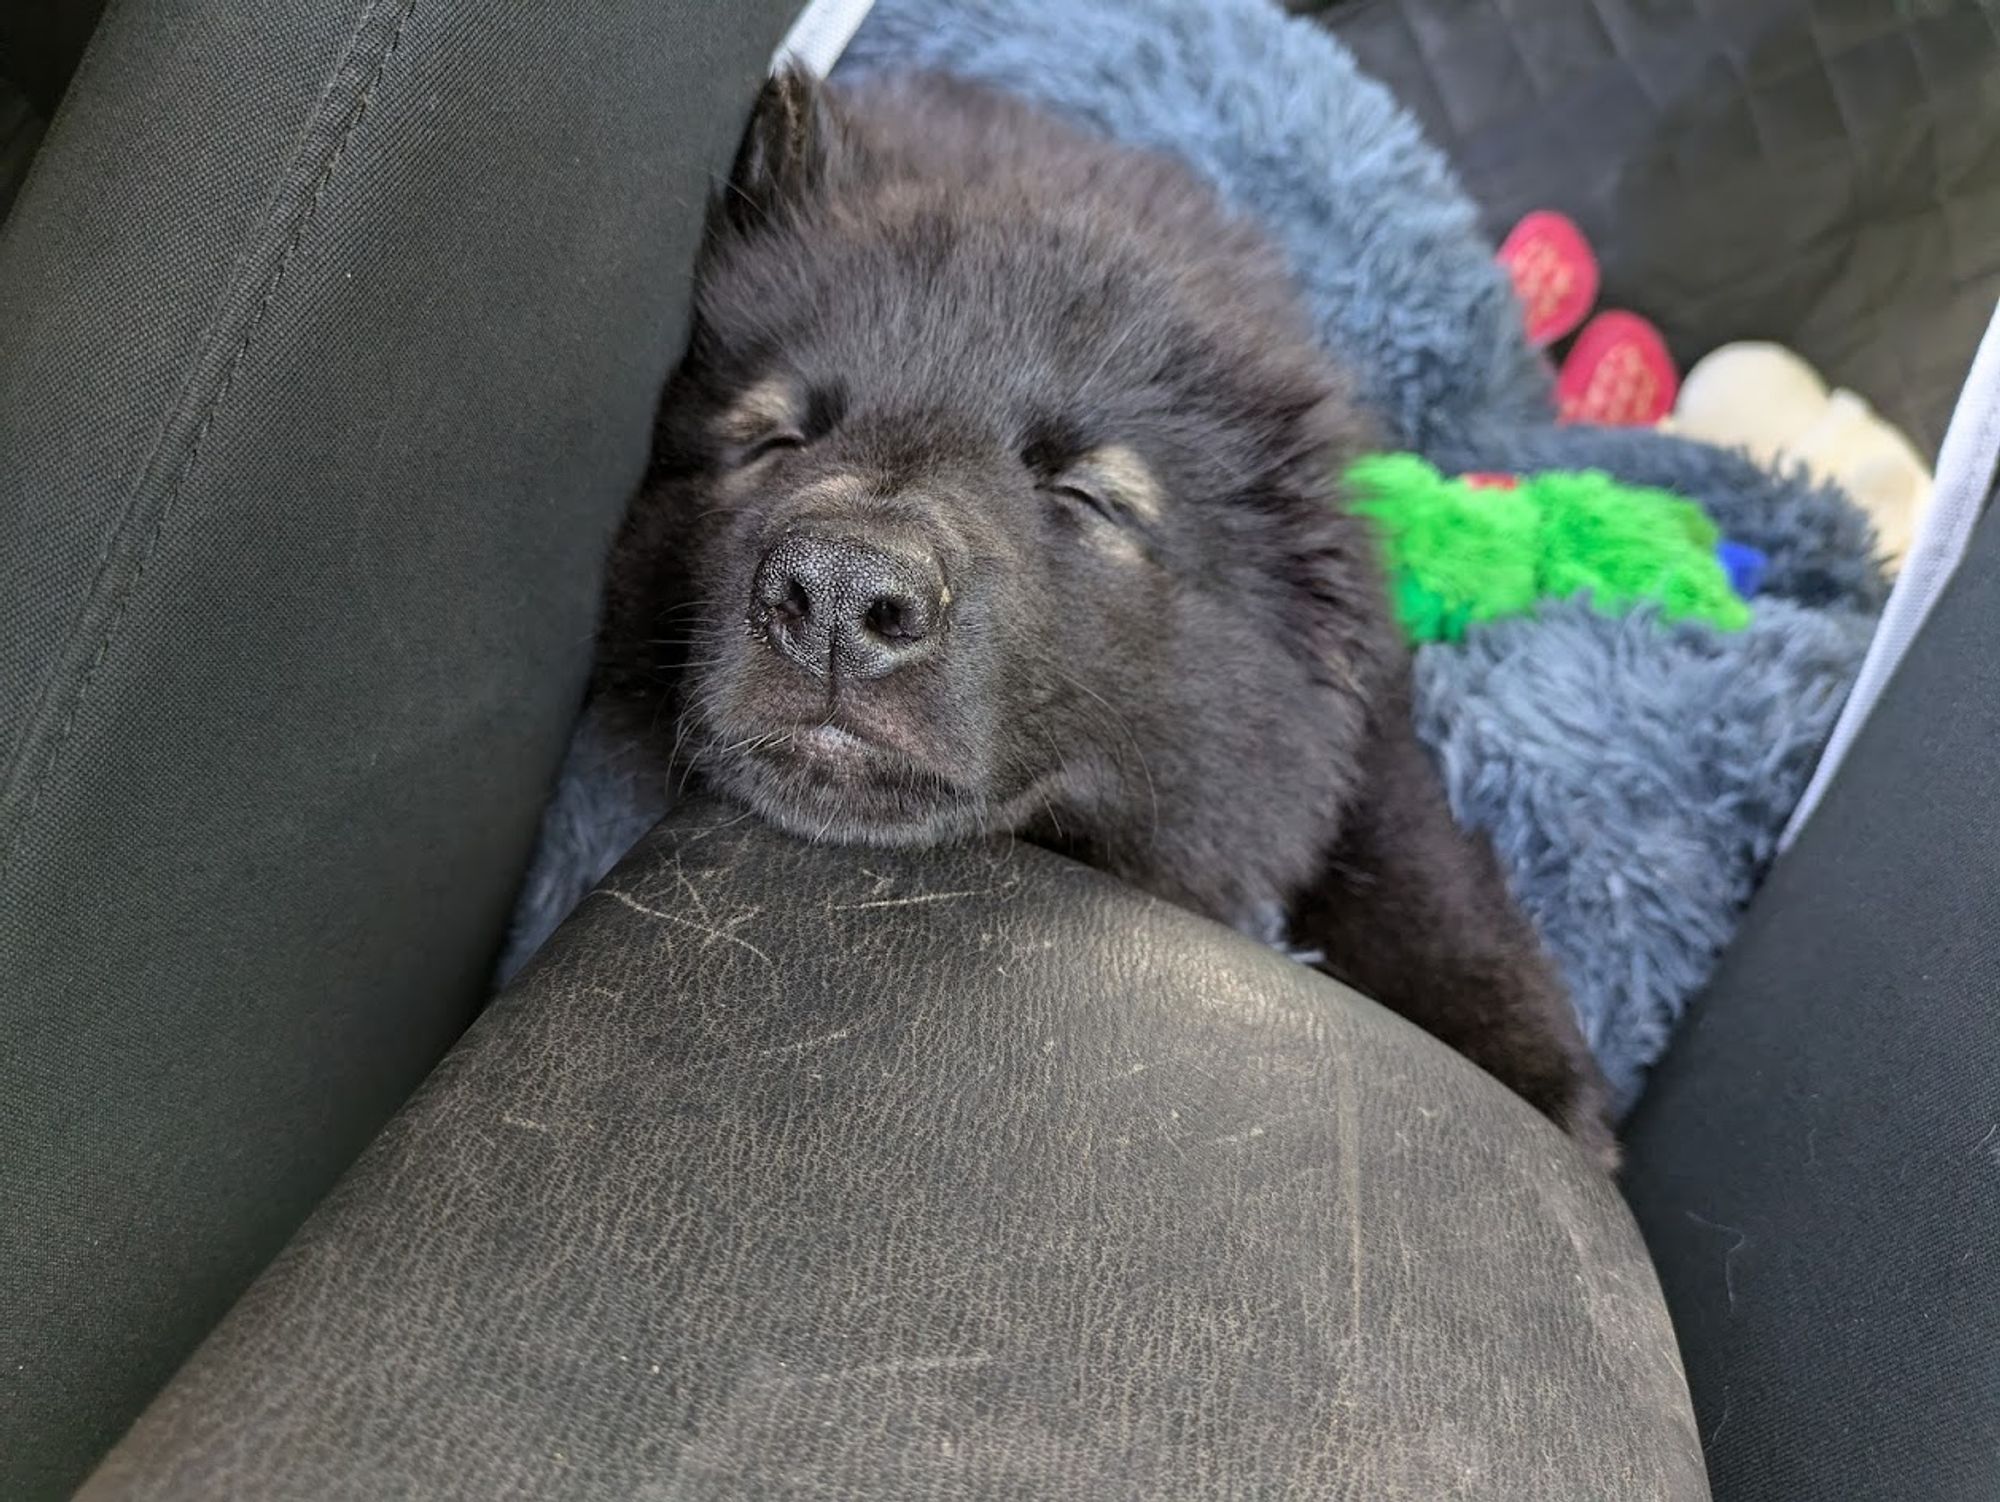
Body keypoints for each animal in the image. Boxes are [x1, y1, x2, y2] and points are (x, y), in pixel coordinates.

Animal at [600, 70, 1616, 1168]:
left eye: (1085, 496)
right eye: (775, 439)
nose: (836, 590)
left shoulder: (1360, 696)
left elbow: (1404, 836)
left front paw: (1526, 1064)